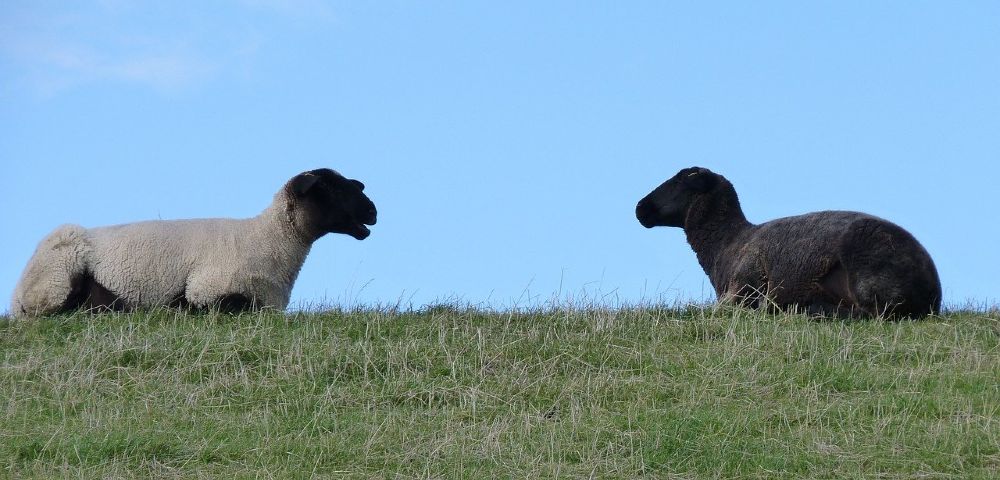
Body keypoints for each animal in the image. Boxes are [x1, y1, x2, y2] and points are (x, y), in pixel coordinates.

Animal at [11, 168, 376, 318]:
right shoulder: (208, 290)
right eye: (331, 188)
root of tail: (16, 298)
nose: (373, 211)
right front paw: (175, 310)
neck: (268, 240)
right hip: (59, 271)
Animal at [635, 167, 941, 319]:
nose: (640, 208)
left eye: (679, 180)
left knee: (869, 313)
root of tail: (932, 293)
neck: (727, 243)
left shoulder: (742, 287)